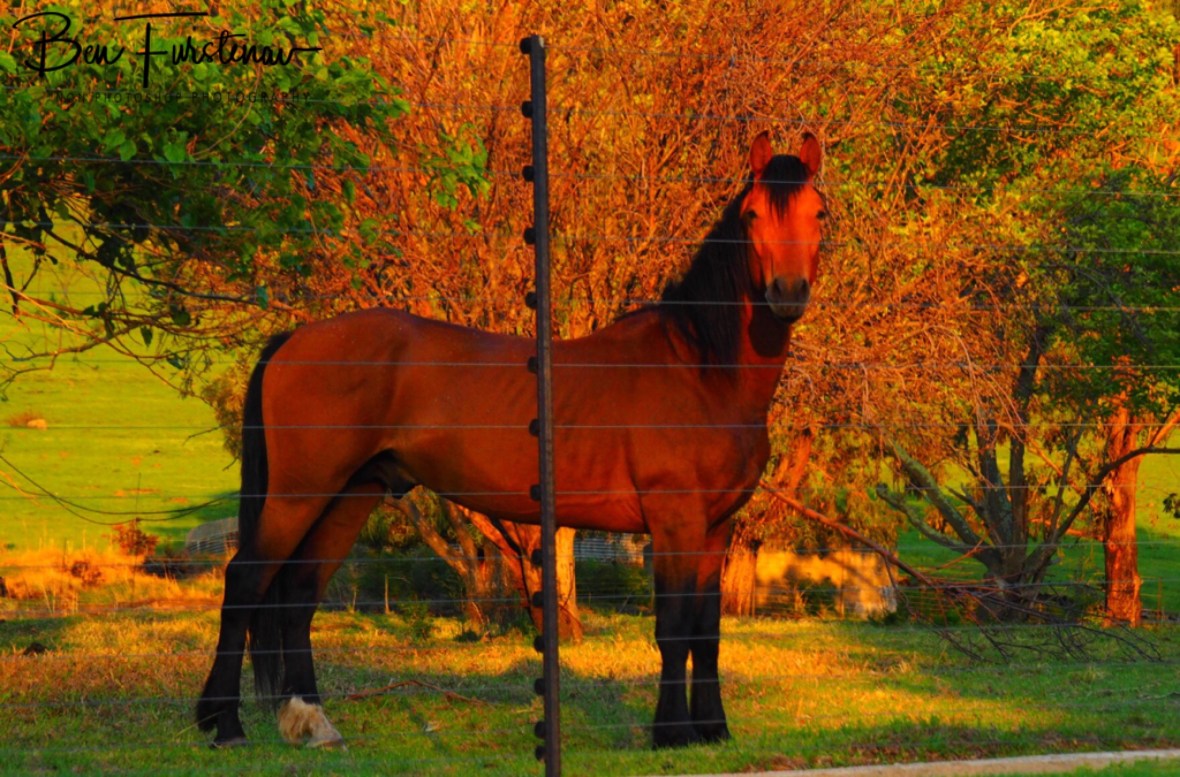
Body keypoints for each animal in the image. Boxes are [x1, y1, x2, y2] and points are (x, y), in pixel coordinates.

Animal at [196, 130, 826, 750]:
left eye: (819, 212)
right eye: (751, 214)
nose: (788, 292)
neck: (701, 368)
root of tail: (297, 336)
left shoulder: (715, 529)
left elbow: (706, 632)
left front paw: (712, 728)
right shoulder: (675, 522)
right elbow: (673, 629)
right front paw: (671, 733)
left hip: (352, 494)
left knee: (299, 591)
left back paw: (312, 721)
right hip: (299, 494)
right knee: (246, 579)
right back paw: (223, 724)